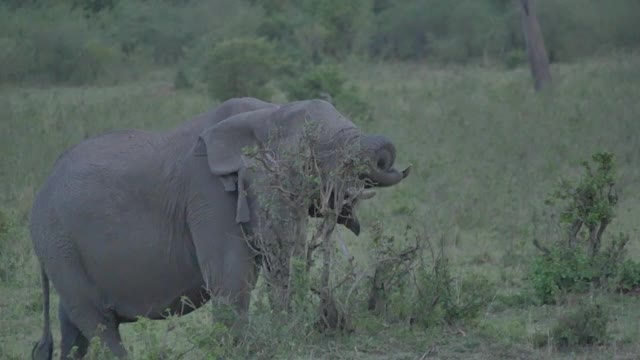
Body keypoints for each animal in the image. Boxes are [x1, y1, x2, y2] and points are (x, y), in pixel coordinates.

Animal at [30, 97, 408, 358]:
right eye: (318, 146)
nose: (394, 163)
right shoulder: (208, 196)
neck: (268, 112)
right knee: (98, 323)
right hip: (58, 245)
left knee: (75, 328)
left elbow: (279, 260)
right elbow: (231, 282)